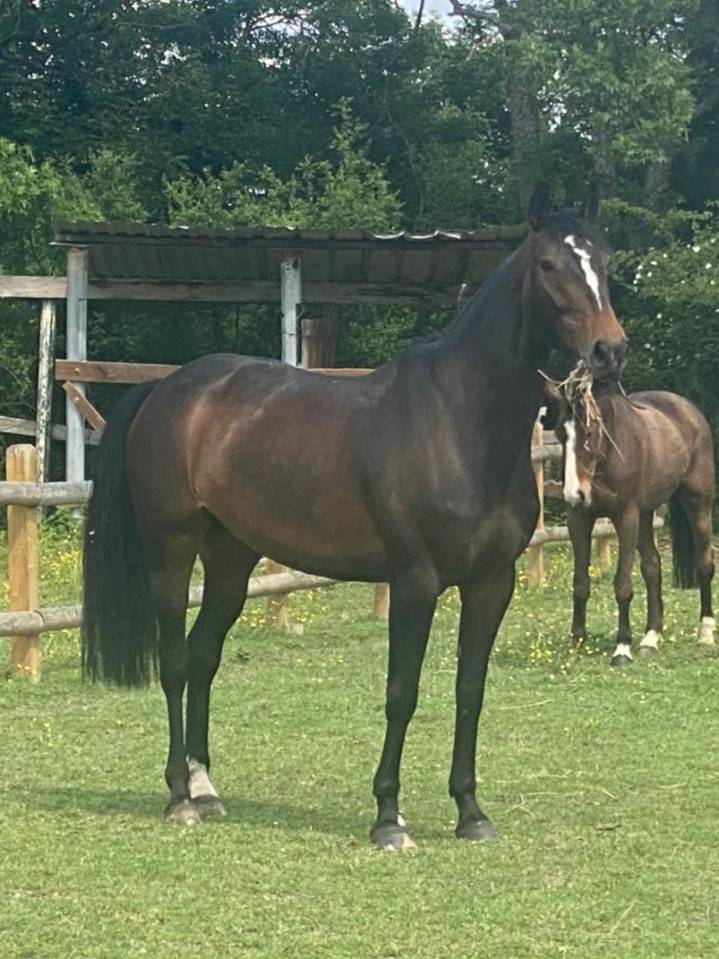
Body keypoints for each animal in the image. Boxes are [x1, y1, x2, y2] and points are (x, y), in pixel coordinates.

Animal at [82, 189, 626, 851]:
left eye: (604, 260)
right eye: (548, 265)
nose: (609, 351)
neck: (458, 422)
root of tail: (165, 389)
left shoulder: (492, 583)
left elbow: (469, 691)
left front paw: (470, 811)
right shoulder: (415, 583)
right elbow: (402, 693)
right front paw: (389, 817)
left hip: (232, 558)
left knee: (204, 654)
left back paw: (206, 788)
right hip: (172, 550)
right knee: (175, 661)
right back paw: (180, 798)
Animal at [555, 386, 716, 665]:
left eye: (589, 433)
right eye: (559, 434)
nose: (574, 493)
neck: (610, 452)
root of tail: (688, 408)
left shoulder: (626, 517)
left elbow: (622, 584)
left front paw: (622, 648)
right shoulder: (579, 519)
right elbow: (580, 581)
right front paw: (578, 640)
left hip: (698, 505)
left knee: (705, 564)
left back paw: (705, 633)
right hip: (646, 514)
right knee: (652, 567)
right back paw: (651, 637)